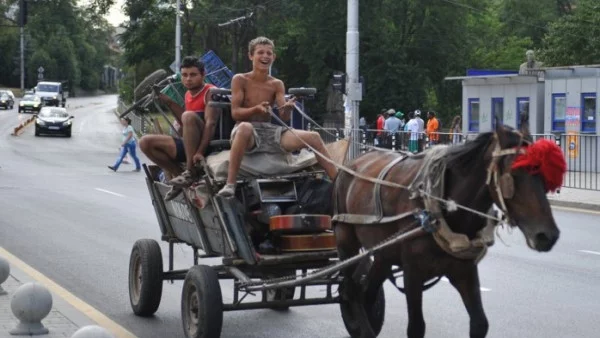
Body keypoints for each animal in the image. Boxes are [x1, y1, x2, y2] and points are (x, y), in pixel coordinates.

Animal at [332, 120, 568, 336]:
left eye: (543, 175)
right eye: (514, 176)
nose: (548, 235)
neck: (438, 206)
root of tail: (352, 163)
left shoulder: (464, 271)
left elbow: (480, 323)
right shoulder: (412, 273)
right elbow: (416, 328)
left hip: (384, 253)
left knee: (367, 291)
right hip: (345, 241)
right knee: (352, 291)